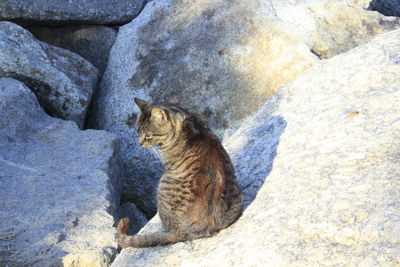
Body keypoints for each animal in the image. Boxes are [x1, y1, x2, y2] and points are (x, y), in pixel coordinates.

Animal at [116, 98, 244, 249]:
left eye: (148, 136)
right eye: (137, 131)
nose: (139, 143)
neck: (187, 119)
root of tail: (182, 232)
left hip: (162, 183)